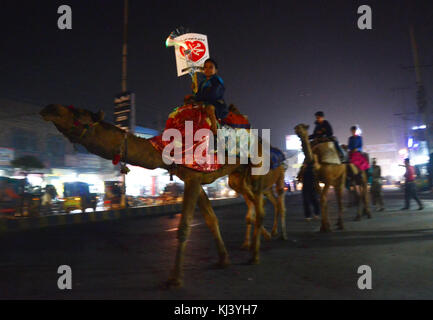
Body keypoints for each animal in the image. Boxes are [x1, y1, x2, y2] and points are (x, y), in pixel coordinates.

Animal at [39, 104, 284, 286]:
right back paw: (262, 240)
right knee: (254, 203)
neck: (166, 147)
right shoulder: (193, 179)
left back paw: (256, 254)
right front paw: (223, 260)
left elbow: (184, 227)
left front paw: (174, 278)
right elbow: (211, 220)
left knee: (262, 205)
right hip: (238, 177)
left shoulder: (193, 177)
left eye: (79, 114)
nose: (49, 108)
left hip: (257, 170)